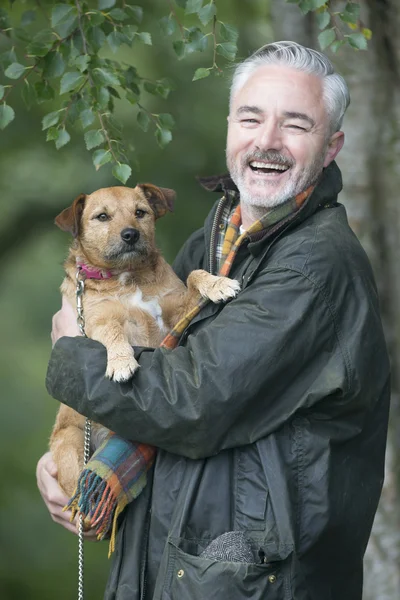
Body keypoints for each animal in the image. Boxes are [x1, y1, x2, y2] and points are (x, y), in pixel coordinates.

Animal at [48, 184, 239, 496]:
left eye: (140, 212)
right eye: (102, 217)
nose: (130, 234)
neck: (129, 276)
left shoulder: (179, 314)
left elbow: (193, 276)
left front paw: (217, 283)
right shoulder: (96, 322)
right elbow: (113, 330)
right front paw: (121, 361)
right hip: (71, 444)